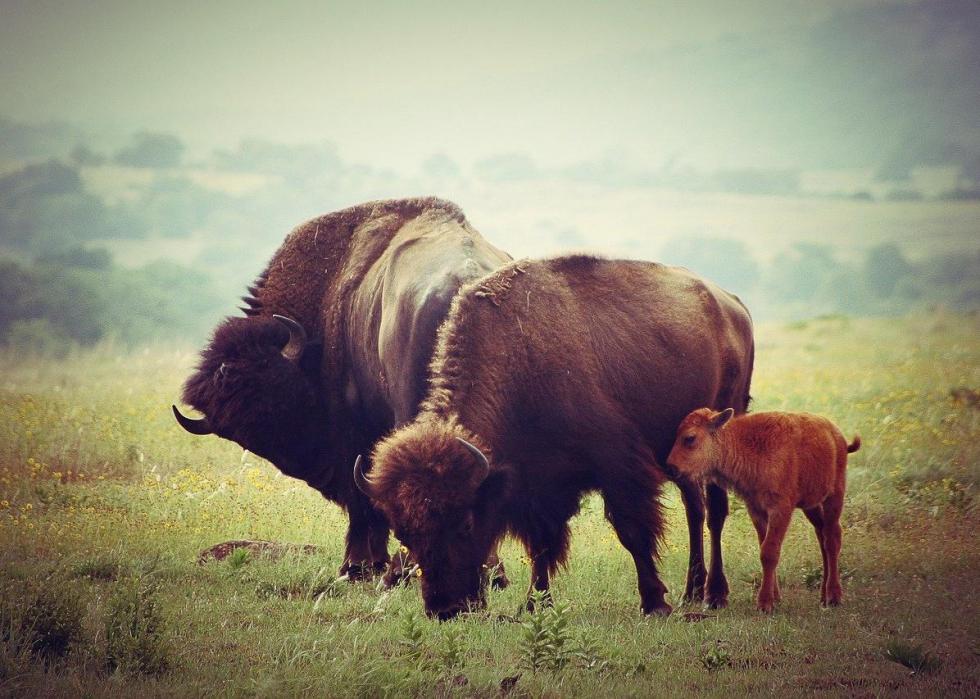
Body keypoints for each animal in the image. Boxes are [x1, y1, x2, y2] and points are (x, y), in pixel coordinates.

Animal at [174, 198, 512, 584]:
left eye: (274, 400)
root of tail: (466, 280)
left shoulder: (353, 433)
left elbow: (362, 497)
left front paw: (356, 566)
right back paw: (488, 571)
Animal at [356, 256, 756, 616]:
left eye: (465, 522)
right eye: (404, 533)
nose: (445, 608)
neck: (519, 360)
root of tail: (734, 306)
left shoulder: (618, 466)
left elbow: (632, 531)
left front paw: (654, 602)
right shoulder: (537, 485)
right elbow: (542, 545)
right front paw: (536, 604)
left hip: (721, 431)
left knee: (715, 511)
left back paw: (714, 595)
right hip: (679, 457)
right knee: (694, 508)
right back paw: (692, 591)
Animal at [668, 410, 856, 612]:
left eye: (690, 438)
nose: (671, 468)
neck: (747, 444)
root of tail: (836, 434)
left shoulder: (780, 509)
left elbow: (769, 552)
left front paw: (764, 603)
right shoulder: (756, 510)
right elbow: (763, 546)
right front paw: (775, 597)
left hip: (834, 495)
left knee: (832, 538)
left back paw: (834, 596)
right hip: (811, 505)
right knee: (822, 535)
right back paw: (823, 595)